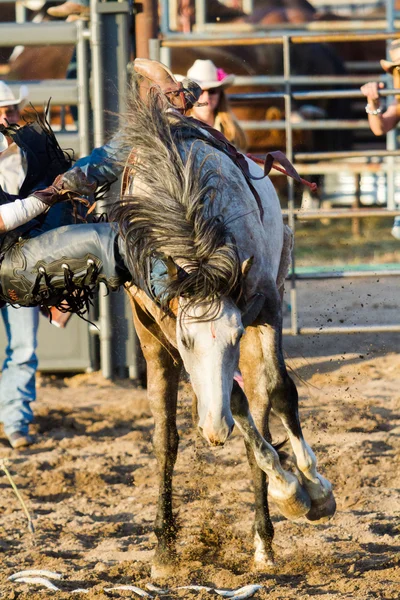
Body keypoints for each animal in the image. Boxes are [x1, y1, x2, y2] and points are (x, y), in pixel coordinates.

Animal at [108, 94, 334, 576]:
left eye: (232, 336)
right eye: (188, 341)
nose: (213, 430)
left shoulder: (266, 306)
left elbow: (280, 392)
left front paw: (314, 490)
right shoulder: (165, 322)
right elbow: (233, 403)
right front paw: (291, 489)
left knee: (261, 406)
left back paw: (265, 540)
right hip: (152, 345)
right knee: (169, 438)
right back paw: (165, 552)